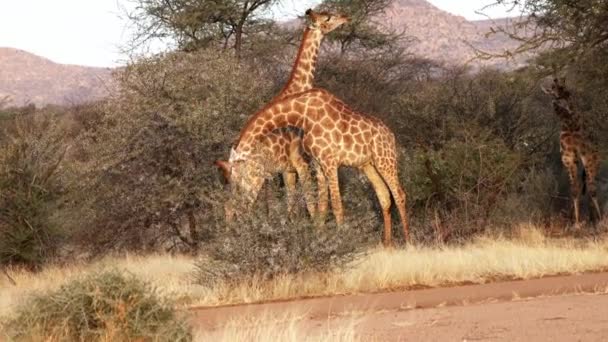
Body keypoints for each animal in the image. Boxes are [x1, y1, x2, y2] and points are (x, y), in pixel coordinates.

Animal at [215, 9, 350, 218]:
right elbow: (309, 204)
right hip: (254, 180)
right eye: (327, 17)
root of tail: (231, 161)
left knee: (229, 207)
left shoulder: (287, 170)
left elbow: (291, 206)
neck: (297, 88)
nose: (346, 17)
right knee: (241, 208)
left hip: (240, 184)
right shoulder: (300, 163)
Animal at [227, 88, 408, 246]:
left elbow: (336, 204)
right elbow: (321, 205)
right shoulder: (318, 163)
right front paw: (319, 238)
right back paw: (387, 244)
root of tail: (391, 135)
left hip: (385, 159)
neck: (301, 114)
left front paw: (341, 239)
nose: (237, 210)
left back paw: (408, 242)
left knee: (399, 194)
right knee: (384, 195)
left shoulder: (329, 161)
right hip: (368, 165)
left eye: (240, 176)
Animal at [540, 78, 604, 227]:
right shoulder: (568, 157)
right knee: (583, 183)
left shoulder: (589, 154)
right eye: (553, 92)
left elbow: (592, 189)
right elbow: (574, 189)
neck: (570, 124)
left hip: (595, 158)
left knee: (591, 184)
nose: (567, 105)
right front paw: (576, 222)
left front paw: (600, 220)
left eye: (564, 88)